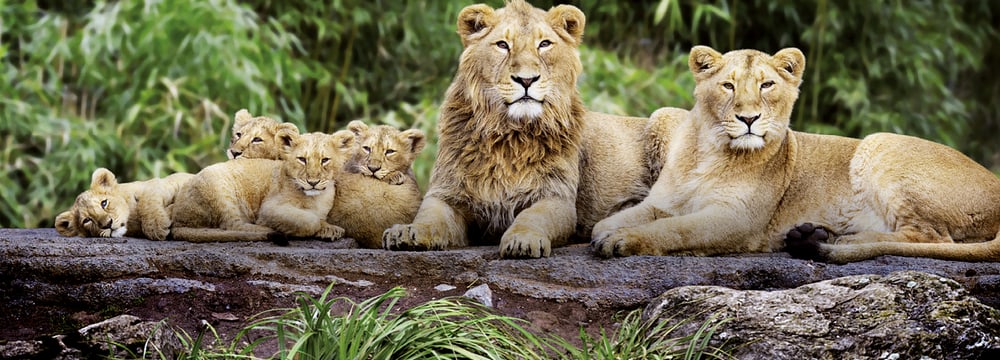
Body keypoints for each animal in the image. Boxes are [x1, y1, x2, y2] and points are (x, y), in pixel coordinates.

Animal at [54, 167, 193, 240]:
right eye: (87, 220)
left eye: (104, 203)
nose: (108, 224)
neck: (131, 220)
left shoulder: (166, 182)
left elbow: (147, 199)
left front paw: (156, 226)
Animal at [171, 129, 356, 242]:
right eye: (302, 159)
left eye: (325, 160)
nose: (313, 182)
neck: (317, 198)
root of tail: (178, 218)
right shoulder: (269, 208)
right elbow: (309, 220)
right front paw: (327, 228)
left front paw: (330, 229)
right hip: (220, 189)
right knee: (232, 225)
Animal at [378, 0, 652, 258]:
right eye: (502, 45)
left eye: (544, 44)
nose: (526, 80)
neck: (510, 135)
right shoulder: (447, 192)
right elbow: (430, 217)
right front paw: (408, 232)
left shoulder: (556, 196)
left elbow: (532, 216)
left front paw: (522, 240)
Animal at [588, 45, 1000, 264]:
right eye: (728, 86)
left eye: (767, 85)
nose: (749, 118)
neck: (710, 152)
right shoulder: (664, 200)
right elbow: (618, 219)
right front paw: (610, 230)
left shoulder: (737, 219)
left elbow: (675, 229)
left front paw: (624, 240)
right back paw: (817, 234)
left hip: (879, 144)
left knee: (935, 239)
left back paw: (843, 241)